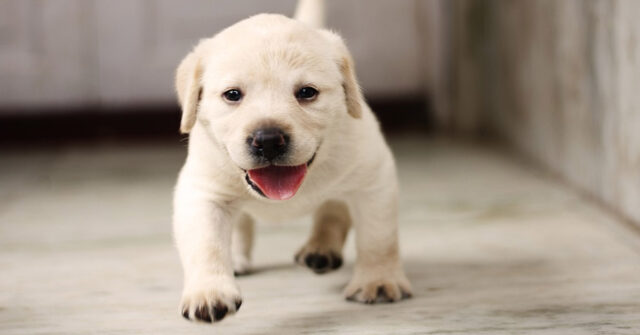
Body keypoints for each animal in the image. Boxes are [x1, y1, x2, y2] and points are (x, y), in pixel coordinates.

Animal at [172, 0, 412, 326]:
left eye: (307, 92)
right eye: (232, 95)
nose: (268, 140)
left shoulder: (373, 179)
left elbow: (378, 238)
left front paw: (379, 280)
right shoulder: (202, 192)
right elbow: (206, 244)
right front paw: (209, 292)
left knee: (333, 210)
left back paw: (321, 248)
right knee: (242, 223)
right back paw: (238, 258)